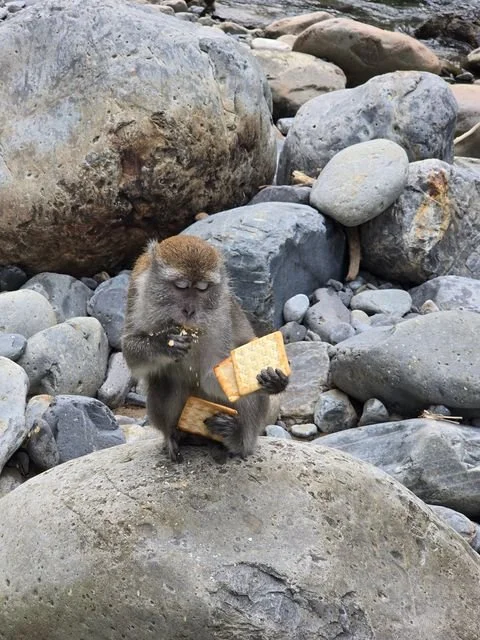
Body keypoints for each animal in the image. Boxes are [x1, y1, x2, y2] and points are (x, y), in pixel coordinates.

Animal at [121, 236, 289, 462]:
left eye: (202, 288)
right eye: (181, 286)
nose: (189, 310)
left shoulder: (222, 315)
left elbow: (213, 374)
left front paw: (274, 382)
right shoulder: (136, 294)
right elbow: (130, 351)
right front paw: (164, 344)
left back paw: (237, 438)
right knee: (166, 382)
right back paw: (172, 434)